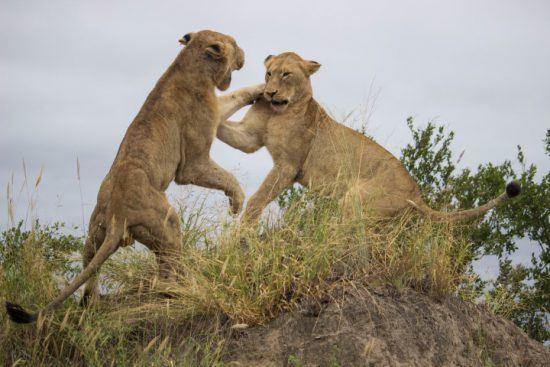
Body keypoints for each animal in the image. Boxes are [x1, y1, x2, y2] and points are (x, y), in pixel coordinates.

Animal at [6, 30, 266, 324]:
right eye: (234, 43)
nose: (244, 52)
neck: (190, 64)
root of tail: (116, 215)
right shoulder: (192, 163)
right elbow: (226, 176)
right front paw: (236, 202)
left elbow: (236, 95)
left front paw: (262, 89)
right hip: (168, 222)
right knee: (167, 270)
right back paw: (186, 288)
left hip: (95, 231)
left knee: (90, 269)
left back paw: (92, 302)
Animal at [217, 51, 520, 224]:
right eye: (268, 73)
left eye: (286, 74)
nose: (269, 92)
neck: (279, 110)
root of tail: (417, 193)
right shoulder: (250, 137)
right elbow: (221, 128)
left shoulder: (288, 165)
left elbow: (258, 199)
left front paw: (243, 229)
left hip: (355, 199)